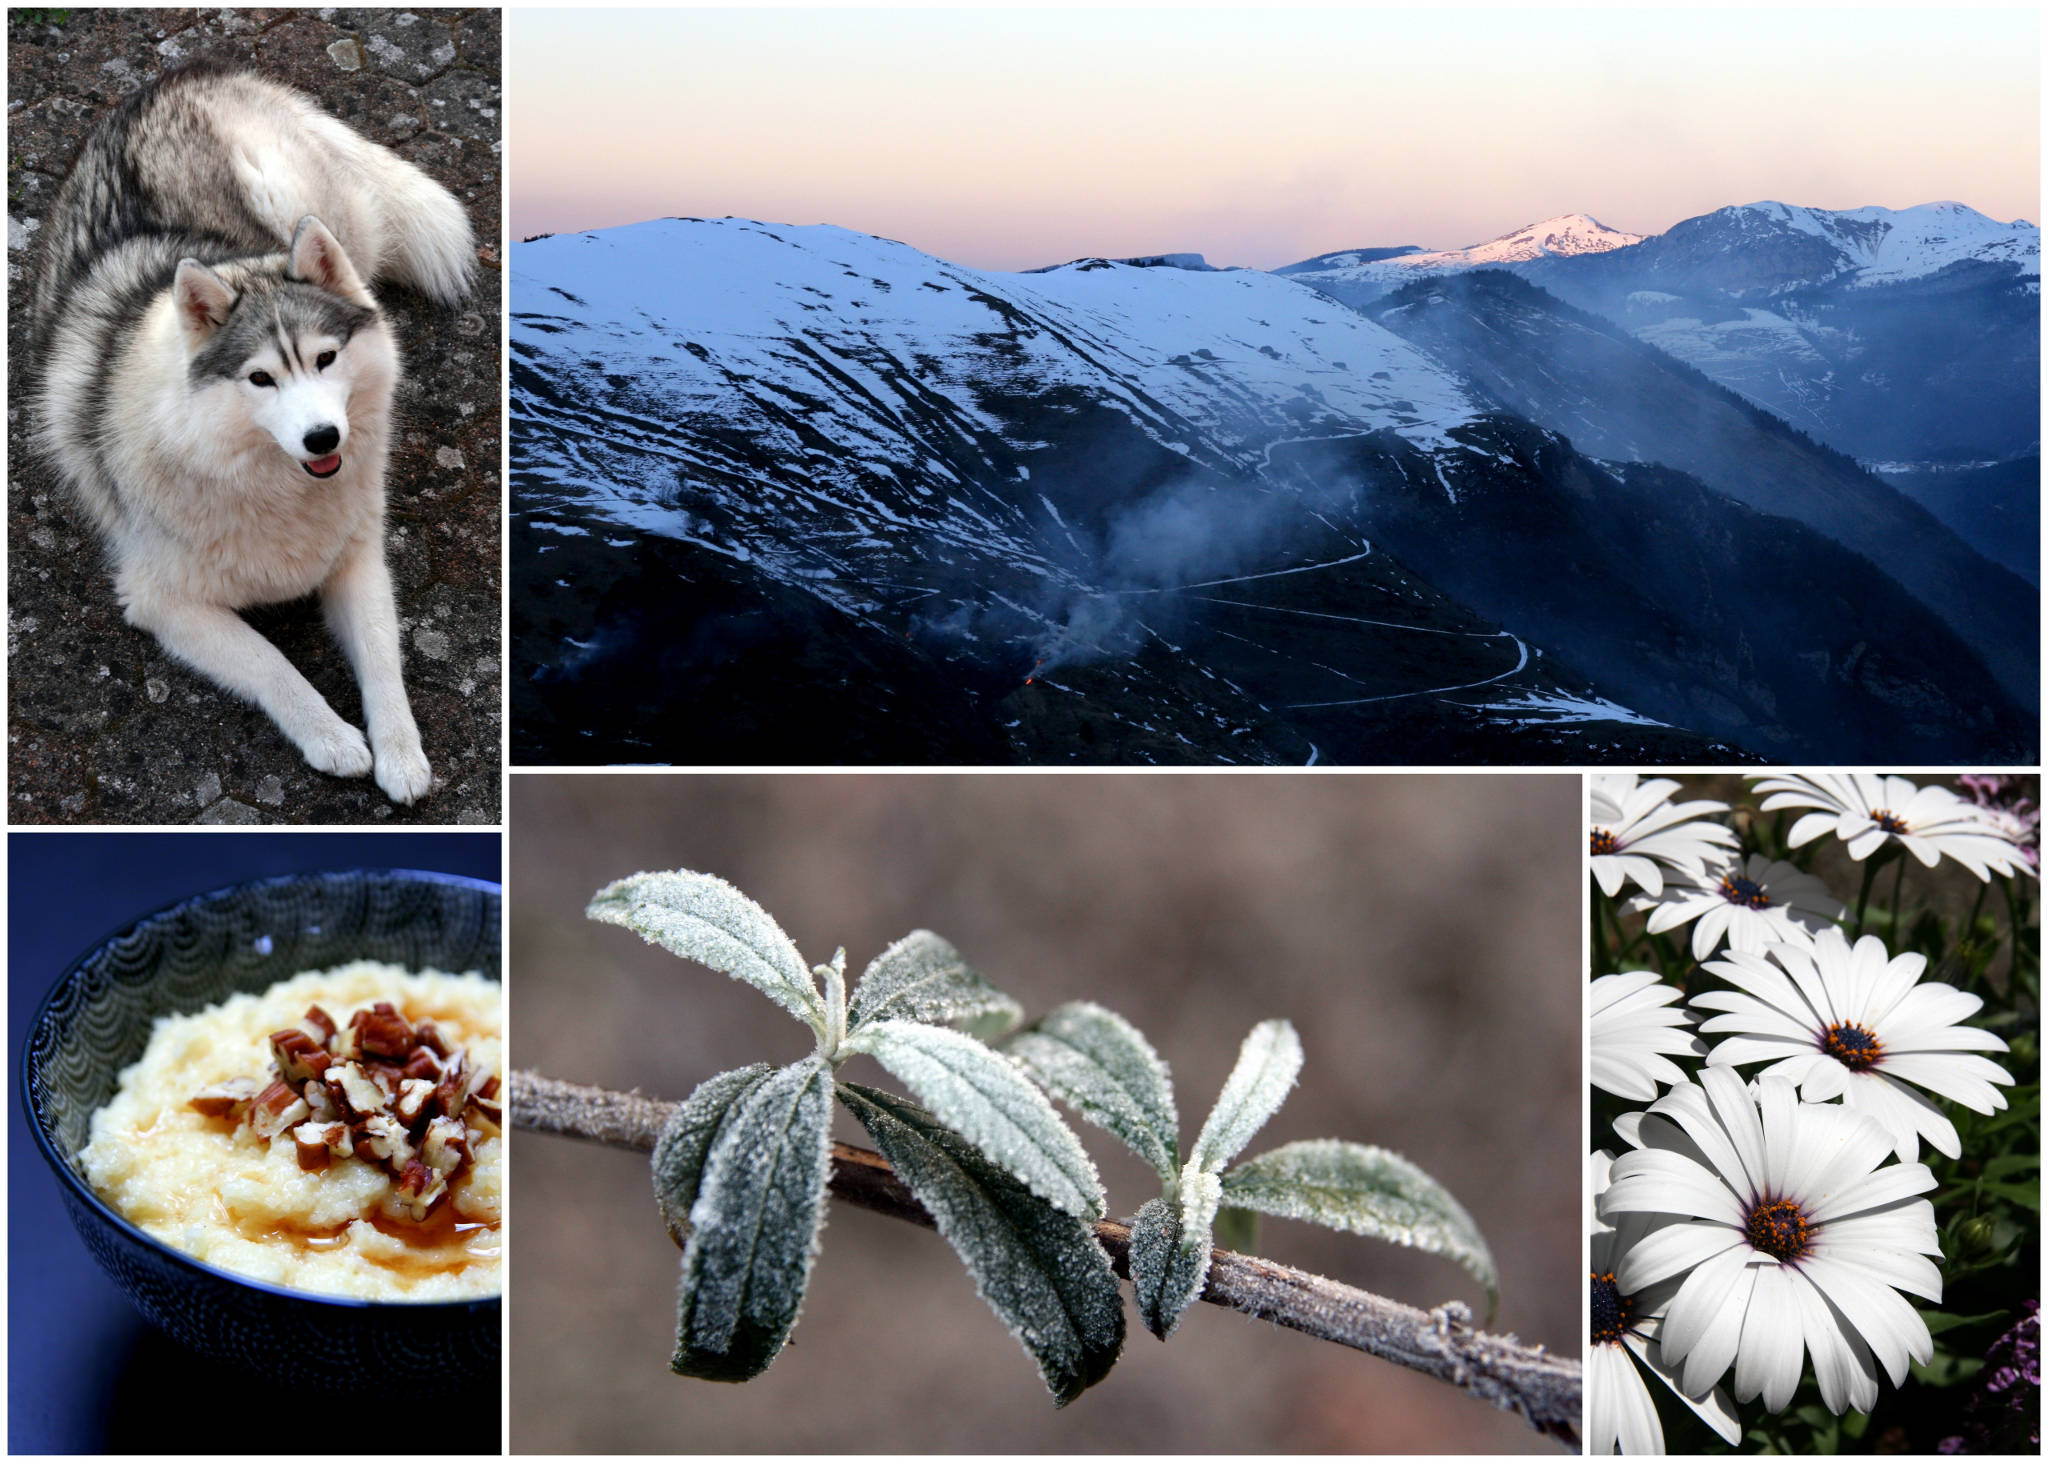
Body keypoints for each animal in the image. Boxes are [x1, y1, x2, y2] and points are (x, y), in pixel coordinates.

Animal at [29, 62, 477, 803]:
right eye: (261, 379)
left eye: (325, 359)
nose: (324, 438)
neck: (268, 485)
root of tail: (183, 77)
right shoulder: (162, 600)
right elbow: (271, 664)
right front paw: (330, 735)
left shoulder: (358, 557)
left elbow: (383, 659)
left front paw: (402, 752)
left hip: (301, 203)